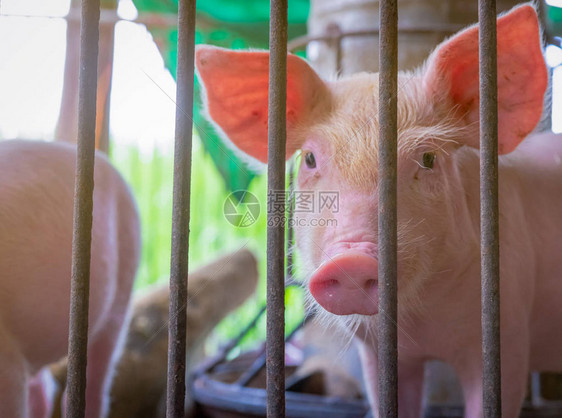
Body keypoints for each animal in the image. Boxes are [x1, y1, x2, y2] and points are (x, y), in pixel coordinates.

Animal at [194, 4, 556, 418]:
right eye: (310, 159)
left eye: (428, 159)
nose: (351, 260)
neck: (425, 325)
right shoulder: (375, 352)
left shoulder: (508, 336)